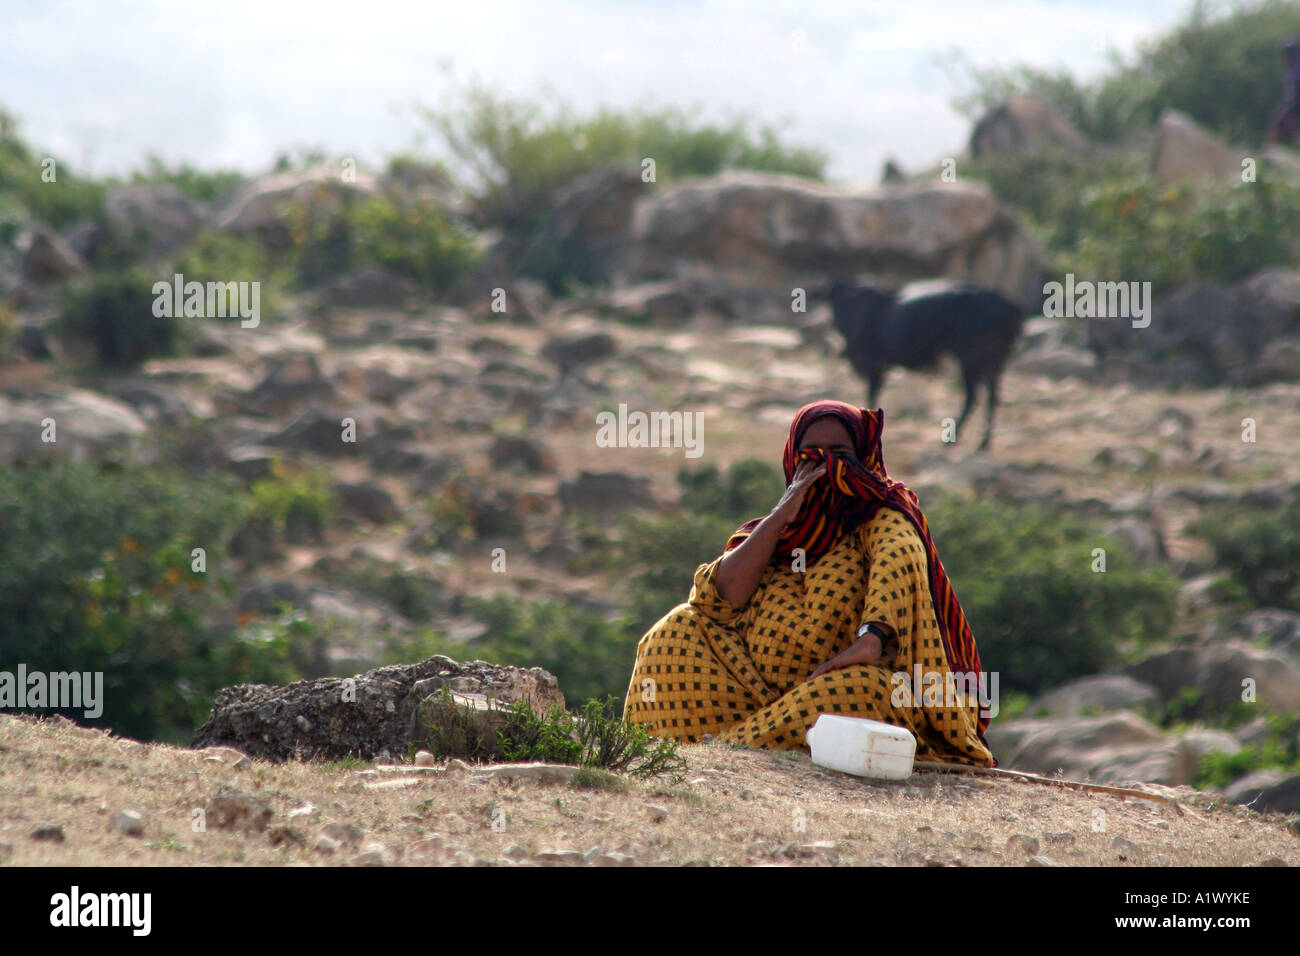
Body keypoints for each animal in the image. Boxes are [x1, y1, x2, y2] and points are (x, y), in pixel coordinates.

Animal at [832, 280, 1024, 452]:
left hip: (971, 360)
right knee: (992, 397)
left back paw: (952, 440)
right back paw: (983, 443)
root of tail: (1011, 309)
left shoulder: (873, 363)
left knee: (972, 397)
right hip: (995, 362)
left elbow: (872, 394)